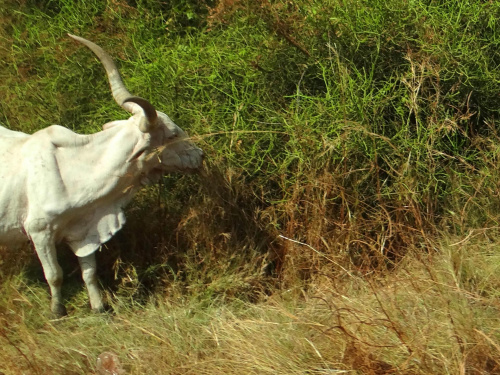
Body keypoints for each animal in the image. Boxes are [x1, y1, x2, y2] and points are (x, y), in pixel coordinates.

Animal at [0, 34, 203, 318]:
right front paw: (57, 310)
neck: (77, 170)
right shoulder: (39, 231)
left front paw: (98, 307)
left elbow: (90, 273)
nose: (200, 156)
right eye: (172, 135)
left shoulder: (84, 232)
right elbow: (54, 275)